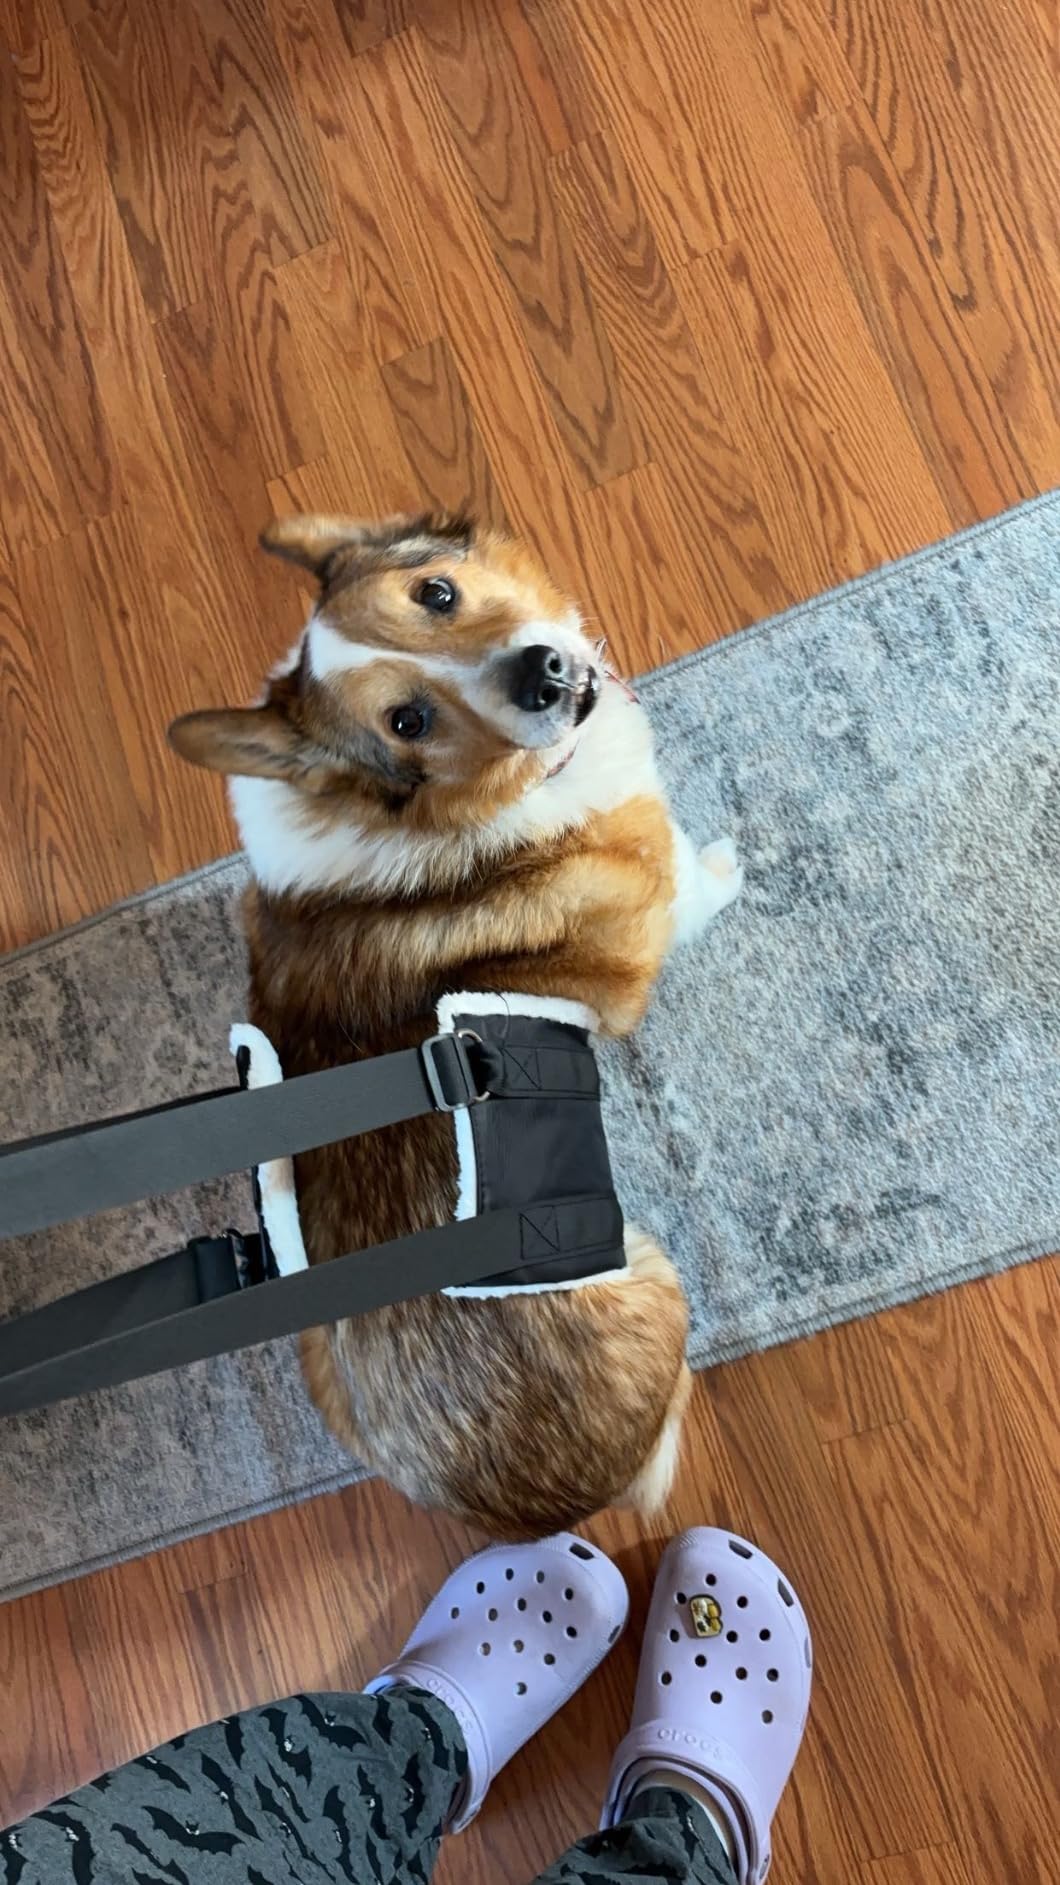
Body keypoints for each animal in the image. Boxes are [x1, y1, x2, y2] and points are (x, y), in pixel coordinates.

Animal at [169, 513, 741, 1539]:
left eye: (437, 593)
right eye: (408, 722)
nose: (543, 673)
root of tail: (535, 1513)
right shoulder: (654, 912)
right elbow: (693, 882)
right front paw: (730, 863)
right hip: (645, 1264)